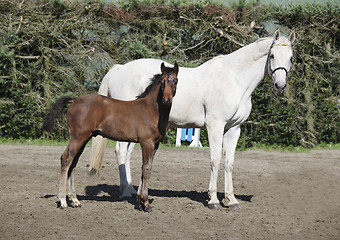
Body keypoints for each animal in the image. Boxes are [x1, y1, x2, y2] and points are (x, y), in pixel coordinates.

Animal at [43, 62, 178, 212]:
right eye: (162, 82)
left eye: (175, 81)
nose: (166, 100)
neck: (151, 110)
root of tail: (75, 100)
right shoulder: (146, 142)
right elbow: (146, 169)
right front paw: (146, 204)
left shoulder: (155, 144)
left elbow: (145, 169)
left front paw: (141, 202)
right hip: (78, 137)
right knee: (66, 159)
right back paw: (63, 201)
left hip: (83, 139)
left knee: (73, 163)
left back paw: (75, 200)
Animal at [89, 30, 294, 210]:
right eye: (272, 55)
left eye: (291, 57)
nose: (280, 85)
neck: (234, 78)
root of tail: (120, 69)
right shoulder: (215, 126)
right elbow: (215, 160)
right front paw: (214, 200)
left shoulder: (234, 128)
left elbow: (229, 163)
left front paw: (232, 200)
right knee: (121, 152)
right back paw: (125, 192)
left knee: (127, 154)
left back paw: (132, 190)